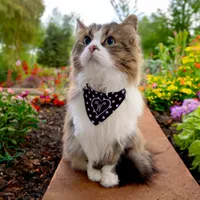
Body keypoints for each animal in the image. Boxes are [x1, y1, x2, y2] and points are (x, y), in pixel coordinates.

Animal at [62, 14, 155, 188]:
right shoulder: (84, 133)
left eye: (110, 41)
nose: (92, 47)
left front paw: (108, 178)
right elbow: (91, 160)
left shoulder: (118, 135)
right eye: (86, 40)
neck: (102, 92)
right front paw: (94, 174)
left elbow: (110, 161)